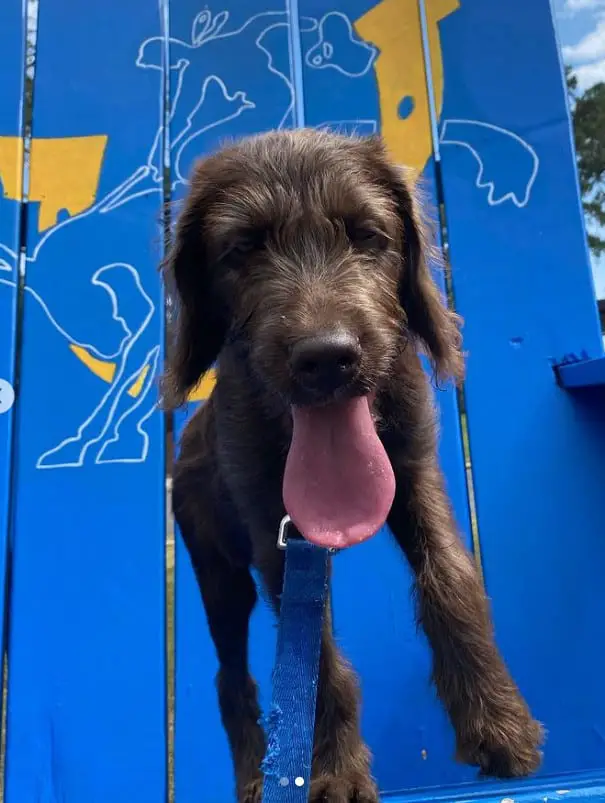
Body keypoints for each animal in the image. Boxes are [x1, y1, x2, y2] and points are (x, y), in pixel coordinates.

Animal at [162, 132, 544, 803]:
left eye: (367, 235)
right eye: (242, 248)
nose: (327, 358)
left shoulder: (416, 476)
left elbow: (452, 579)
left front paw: (498, 722)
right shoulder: (273, 534)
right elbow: (315, 656)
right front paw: (333, 774)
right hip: (219, 574)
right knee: (230, 678)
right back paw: (256, 776)